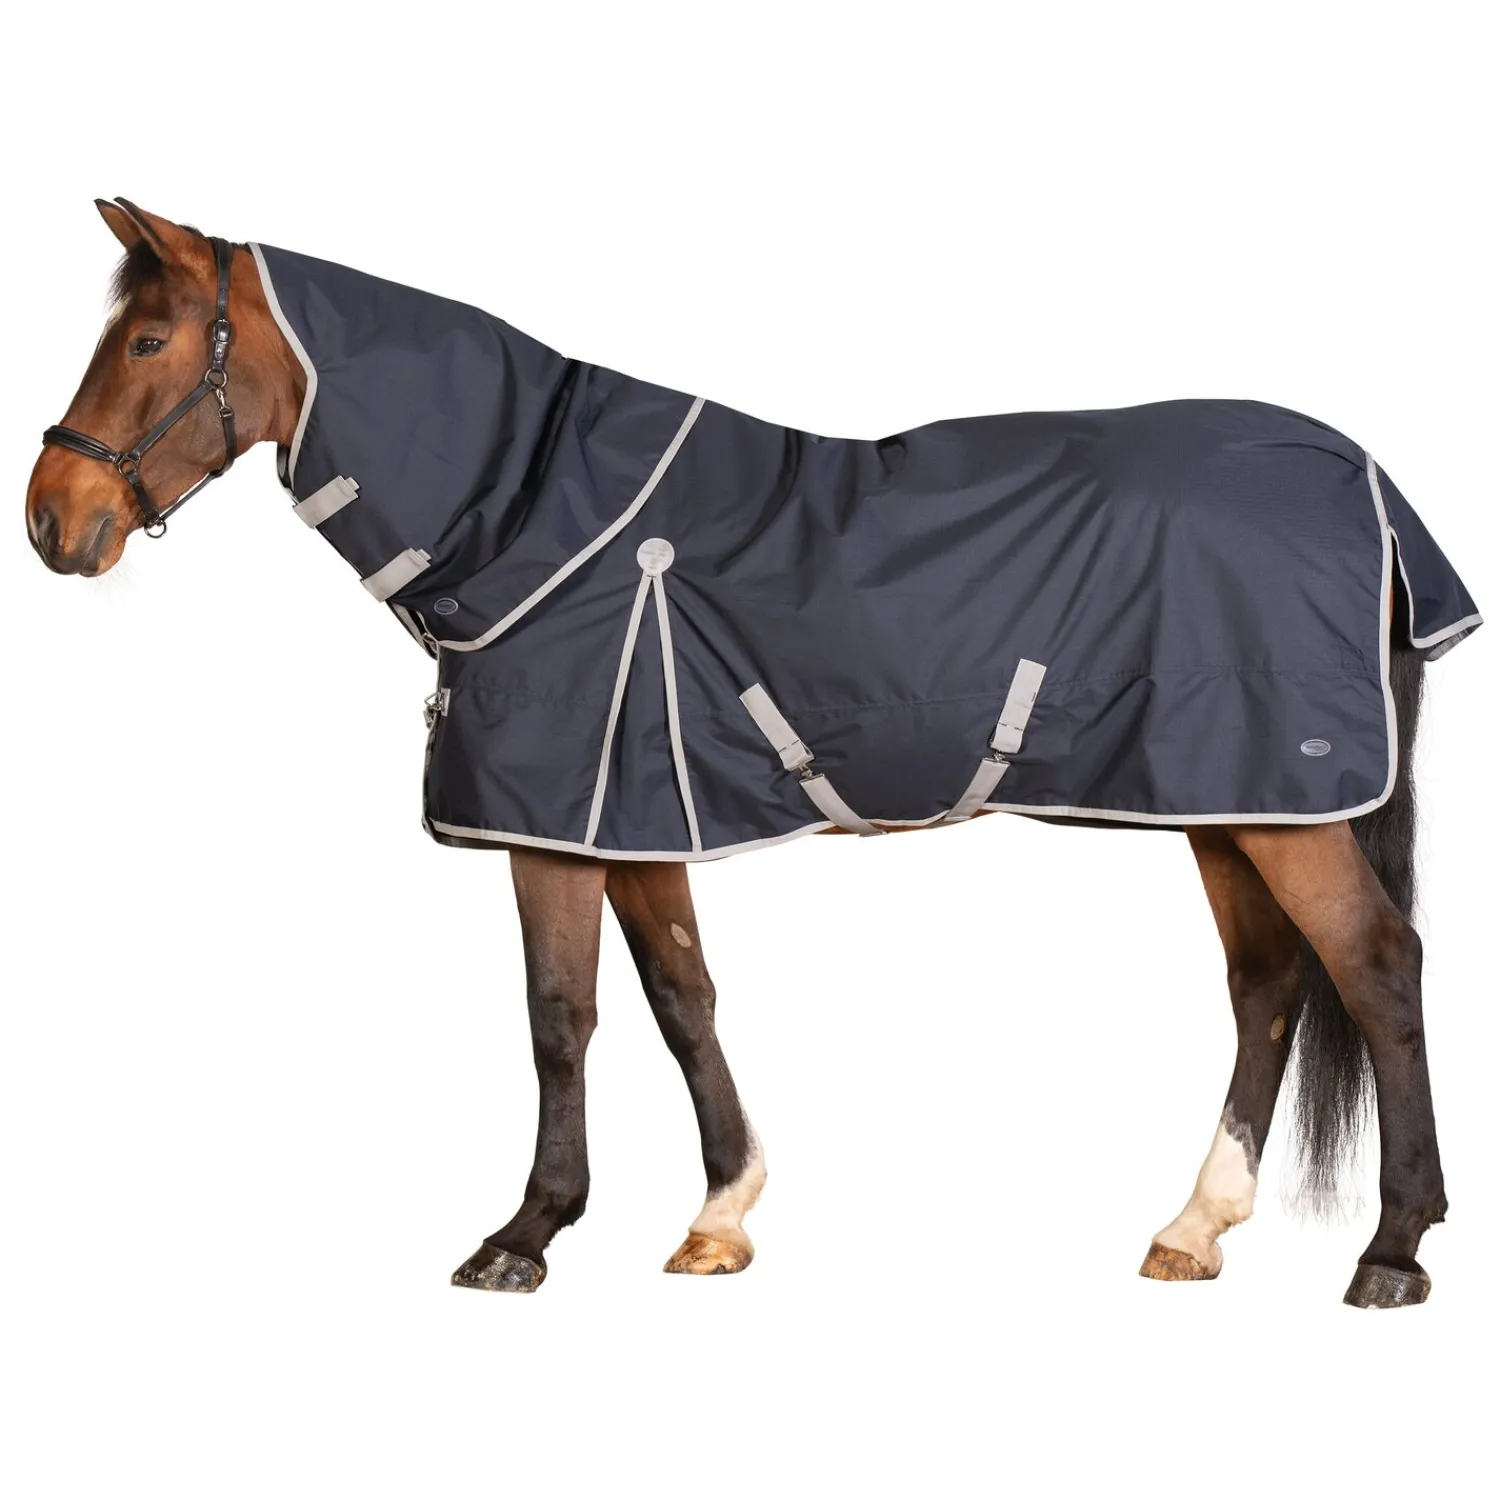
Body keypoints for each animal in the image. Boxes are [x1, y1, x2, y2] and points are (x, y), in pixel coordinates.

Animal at [25, 198, 1480, 1308]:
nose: (52, 518)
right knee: (1269, 985)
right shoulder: (627, 815)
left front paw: (524, 1234)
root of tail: (1364, 482)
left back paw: (1395, 1251)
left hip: (1286, 805)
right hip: (1229, 798)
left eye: (147, 337)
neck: (538, 516)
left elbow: (561, 1018)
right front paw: (721, 1216)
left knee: (1376, 968)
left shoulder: (558, 823)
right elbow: (682, 998)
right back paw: (1194, 1228)